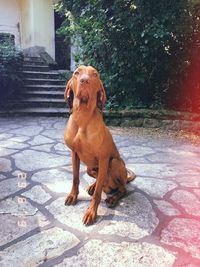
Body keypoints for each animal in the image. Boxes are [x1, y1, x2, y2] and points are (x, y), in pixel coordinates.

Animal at [64, 66, 136, 225]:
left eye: (95, 74)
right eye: (76, 73)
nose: (85, 81)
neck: (83, 117)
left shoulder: (104, 159)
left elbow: (97, 194)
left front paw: (91, 212)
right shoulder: (74, 153)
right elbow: (75, 178)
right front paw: (73, 196)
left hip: (114, 163)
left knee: (122, 189)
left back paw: (112, 198)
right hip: (90, 169)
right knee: (100, 182)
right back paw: (93, 186)